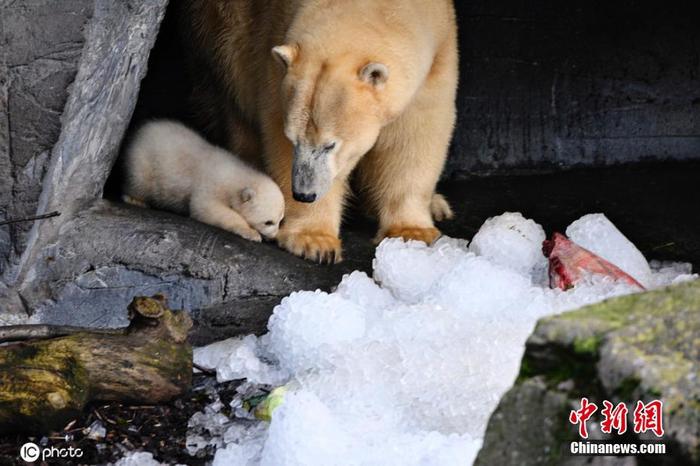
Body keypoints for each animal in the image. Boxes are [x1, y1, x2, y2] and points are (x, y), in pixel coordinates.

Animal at [179, 0, 460, 262]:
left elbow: (417, 133)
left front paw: (412, 232)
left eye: (330, 144)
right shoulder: (271, 49)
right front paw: (315, 241)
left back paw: (435, 204)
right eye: (293, 139)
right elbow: (274, 127)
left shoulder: (439, 53)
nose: (304, 194)